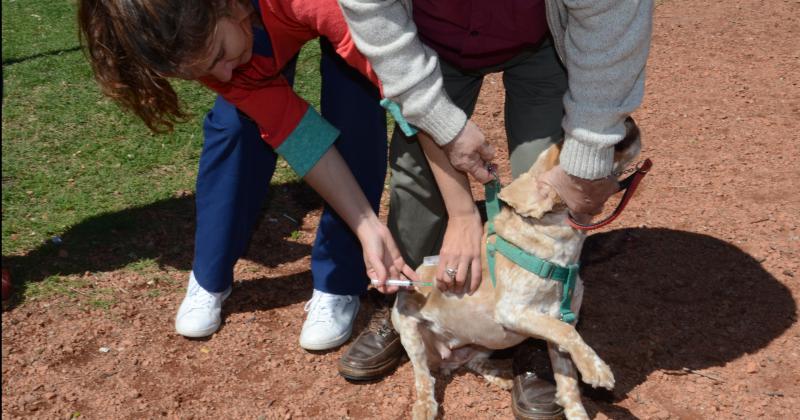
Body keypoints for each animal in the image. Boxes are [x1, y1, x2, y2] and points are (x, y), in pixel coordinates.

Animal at [390, 122, 640, 420]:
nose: (629, 123)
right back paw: (425, 405)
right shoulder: (514, 311)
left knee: (473, 363)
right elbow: (567, 333)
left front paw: (578, 407)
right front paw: (597, 369)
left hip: (483, 344)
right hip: (409, 331)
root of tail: (446, 357)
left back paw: (499, 376)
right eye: (567, 144)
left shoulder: (559, 325)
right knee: (423, 377)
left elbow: (569, 384)